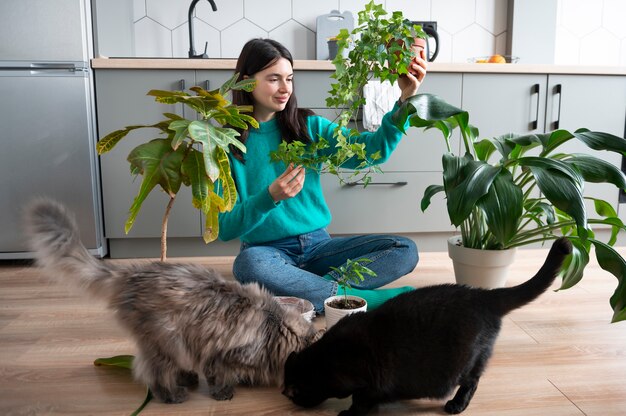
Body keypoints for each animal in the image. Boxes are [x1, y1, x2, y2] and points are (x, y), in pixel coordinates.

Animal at [25, 198, 320, 404]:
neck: (273, 327)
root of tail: (132, 273)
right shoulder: (220, 354)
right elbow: (220, 375)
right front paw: (224, 392)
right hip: (166, 340)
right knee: (153, 374)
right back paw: (174, 395)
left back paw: (187, 379)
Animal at [282, 236, 572, 414]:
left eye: (297, 394)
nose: (289, 399)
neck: (326, 359)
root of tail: (483, 295)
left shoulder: (368, 382)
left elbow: (361, 400)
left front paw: (348, 413)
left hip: (464, 363)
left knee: (472, 381)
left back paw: (456, 405)